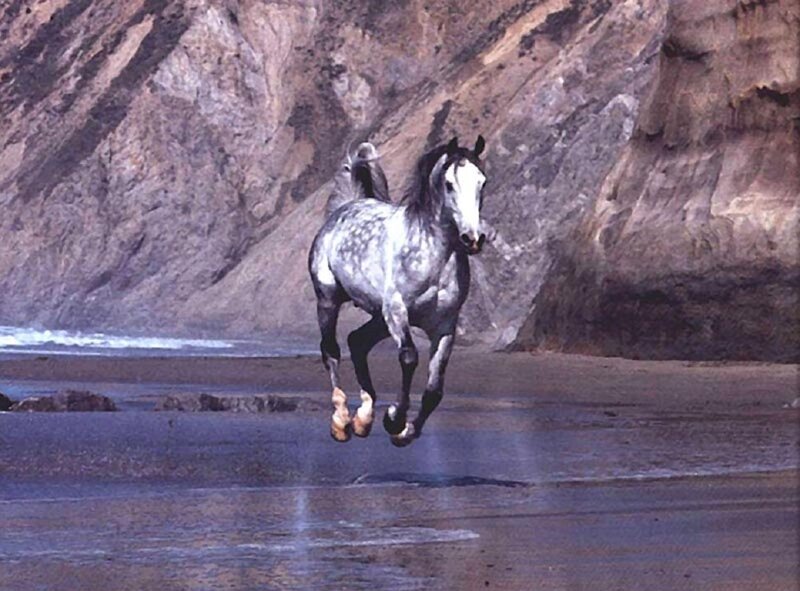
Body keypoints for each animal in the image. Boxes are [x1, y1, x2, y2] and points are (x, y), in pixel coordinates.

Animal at [308, 135, 487, 447]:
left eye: (482, 183)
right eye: (449, 184)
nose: (473, 239)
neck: (432, 255)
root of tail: (346, 206)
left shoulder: (444, 325)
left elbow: (434, 390)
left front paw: (405, 432)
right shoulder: (397, 311)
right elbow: (409, 357)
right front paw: (394, 419)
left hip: (378, 318)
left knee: (357, 342)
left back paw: (363, 419)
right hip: (329, 300)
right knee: (331, 350)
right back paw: (341, 421)